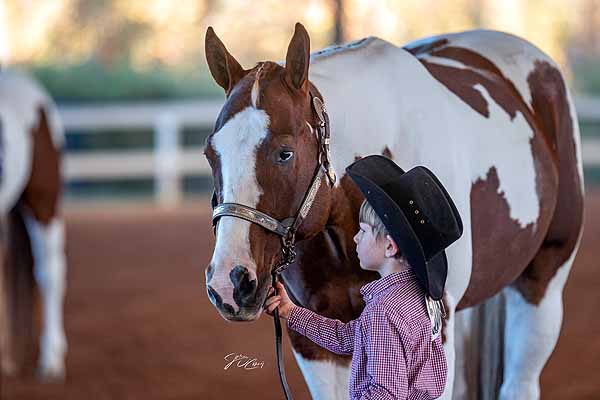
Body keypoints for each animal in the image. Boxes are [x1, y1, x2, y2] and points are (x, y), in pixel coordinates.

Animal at [204, 25, 584, 400]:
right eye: (210, 153)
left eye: (285, 153)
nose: (229, 283)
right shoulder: (316, 339)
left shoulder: (436, 328)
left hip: (541, 287)